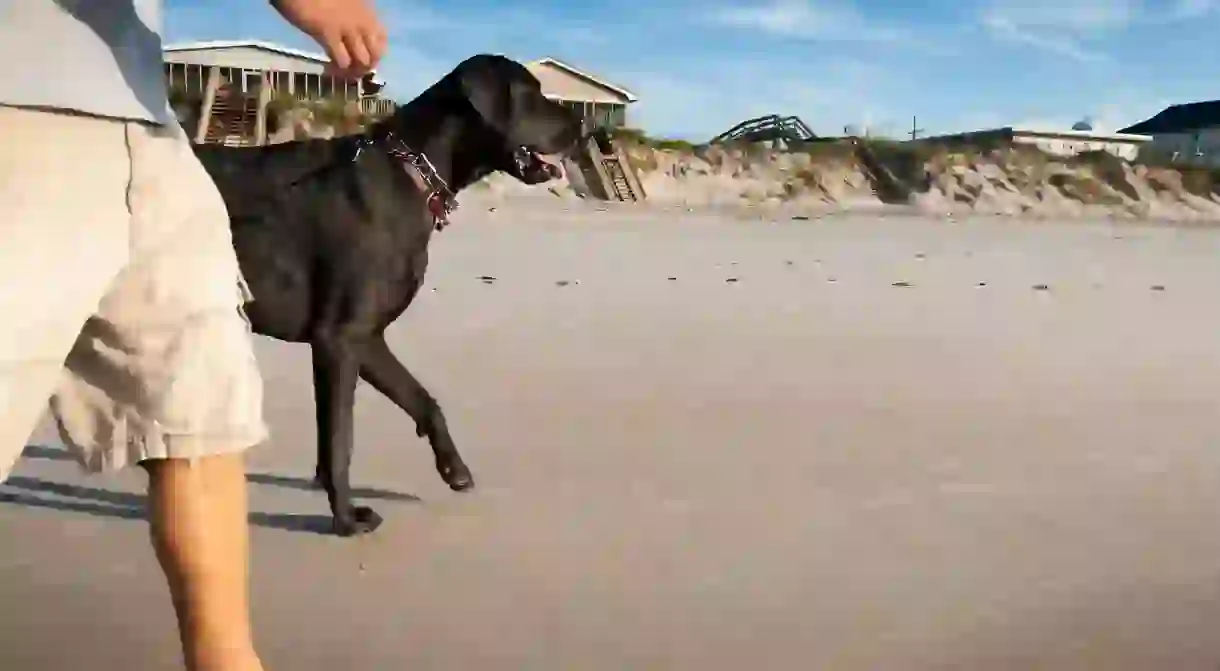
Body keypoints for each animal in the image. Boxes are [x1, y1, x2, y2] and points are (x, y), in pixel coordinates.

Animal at [192, 55, 583, 539]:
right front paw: (345, 518)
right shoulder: (337, 339)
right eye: (530, 94)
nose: (585, 126)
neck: (410, 174)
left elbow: (423, 400)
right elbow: (339, 440)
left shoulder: (366, 337)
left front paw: (454, 469)